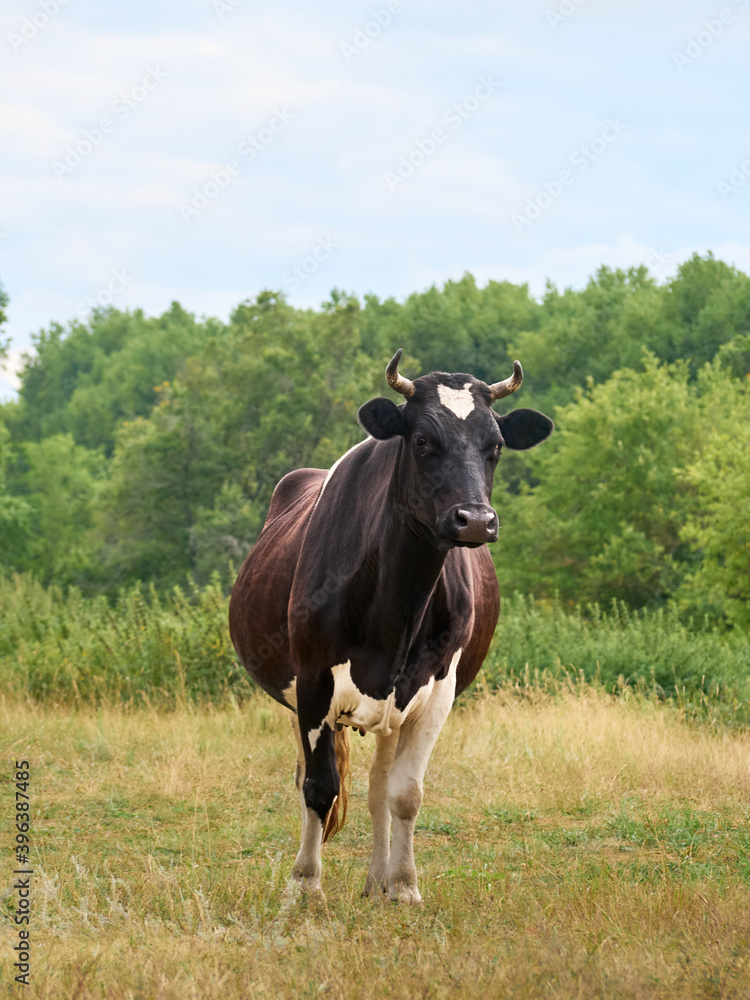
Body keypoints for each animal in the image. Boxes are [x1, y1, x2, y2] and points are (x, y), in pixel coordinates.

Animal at [229, 352, 552, 908]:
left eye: (495, 446)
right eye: (421, 440)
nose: (475, 520)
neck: (397, 602)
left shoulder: (438, 689)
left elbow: (404, 794)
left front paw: (403, 885)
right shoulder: (312, 681)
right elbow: (320, 786)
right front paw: (305, 886)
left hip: (393, 709)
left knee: (380, 785)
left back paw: (377, 880)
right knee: (307, 778)